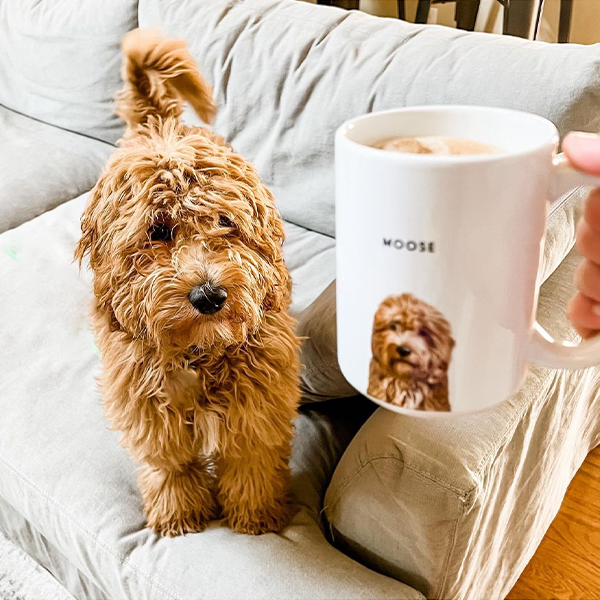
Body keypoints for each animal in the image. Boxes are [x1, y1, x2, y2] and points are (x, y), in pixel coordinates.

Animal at [75, 29, 300, 536]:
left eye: (224, 222)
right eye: (157, 231)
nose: (210, 295)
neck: (201, 354)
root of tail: (157, 124)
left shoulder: (258, 409)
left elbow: (252, 464)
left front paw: (255, 516)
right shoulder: (149, 411)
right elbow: (171, 466)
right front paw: (180, 513)